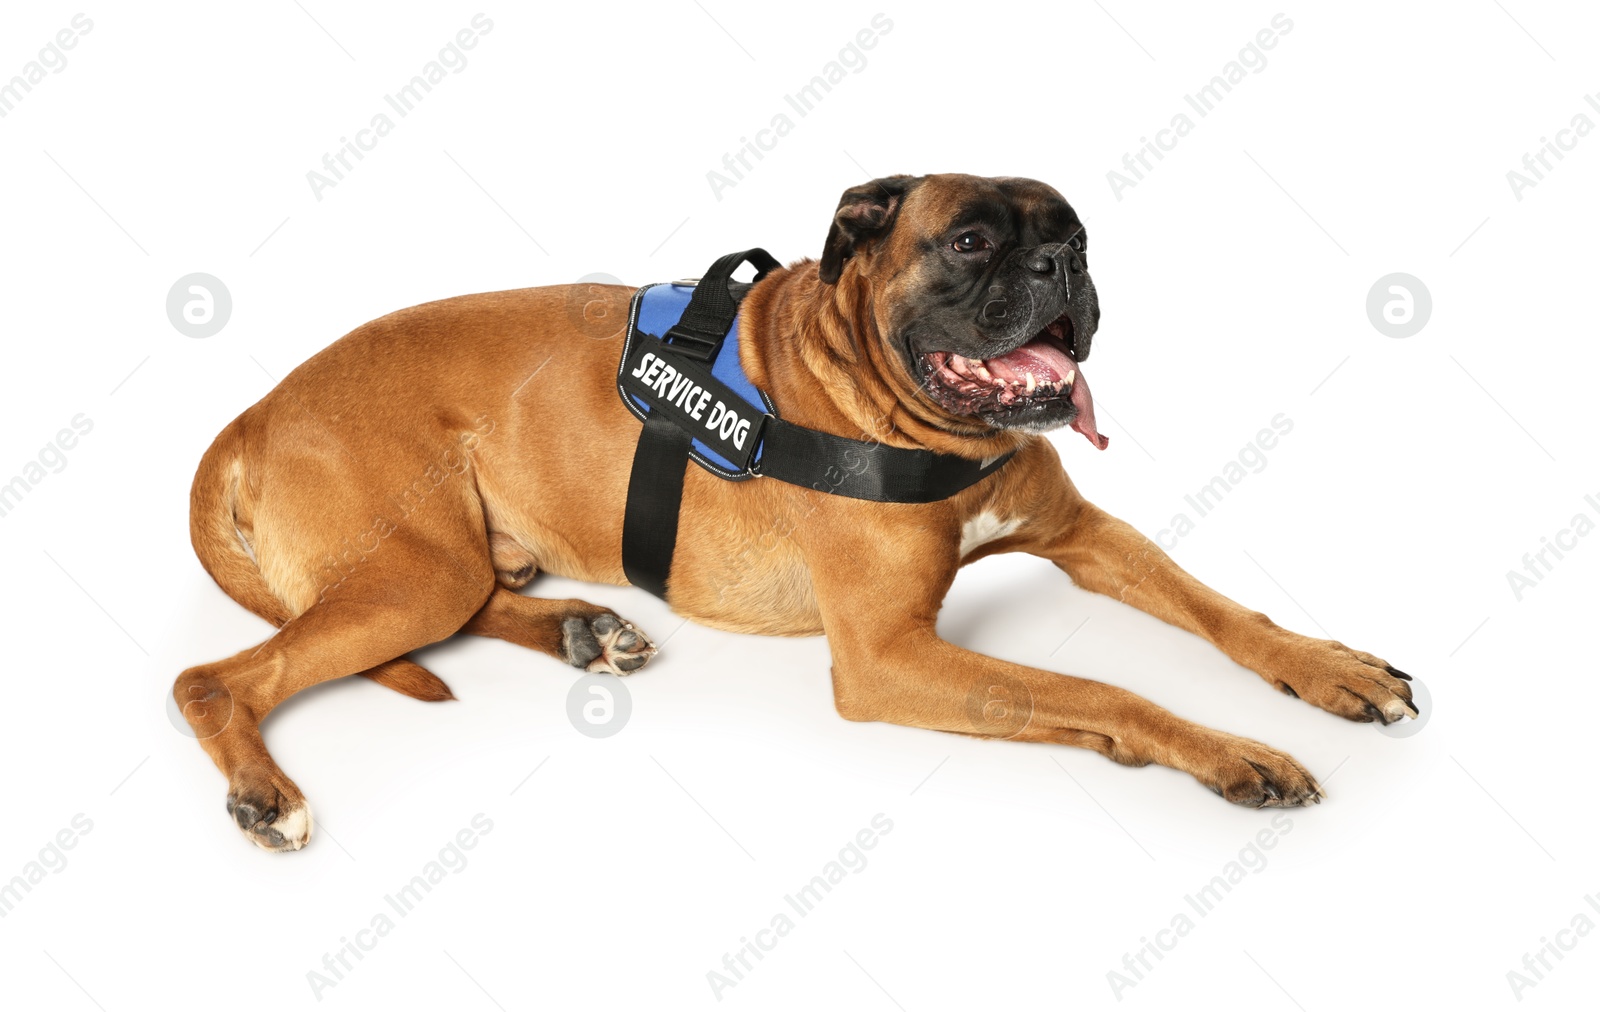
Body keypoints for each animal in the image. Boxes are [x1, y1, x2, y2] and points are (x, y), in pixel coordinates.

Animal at [181, 169, 1420, 851]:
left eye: (1073, 232)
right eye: (971, 240)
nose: (1063, 265)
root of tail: (252, 410)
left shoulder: (1085, 537)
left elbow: (1220, 608)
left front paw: (1329, 669)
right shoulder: (886, 658)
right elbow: (1098, 690)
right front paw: (1230, 751)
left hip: (439, 567)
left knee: (477, 595)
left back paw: (587, 627)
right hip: (411, 570)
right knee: (216, 677)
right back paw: (266, 796)